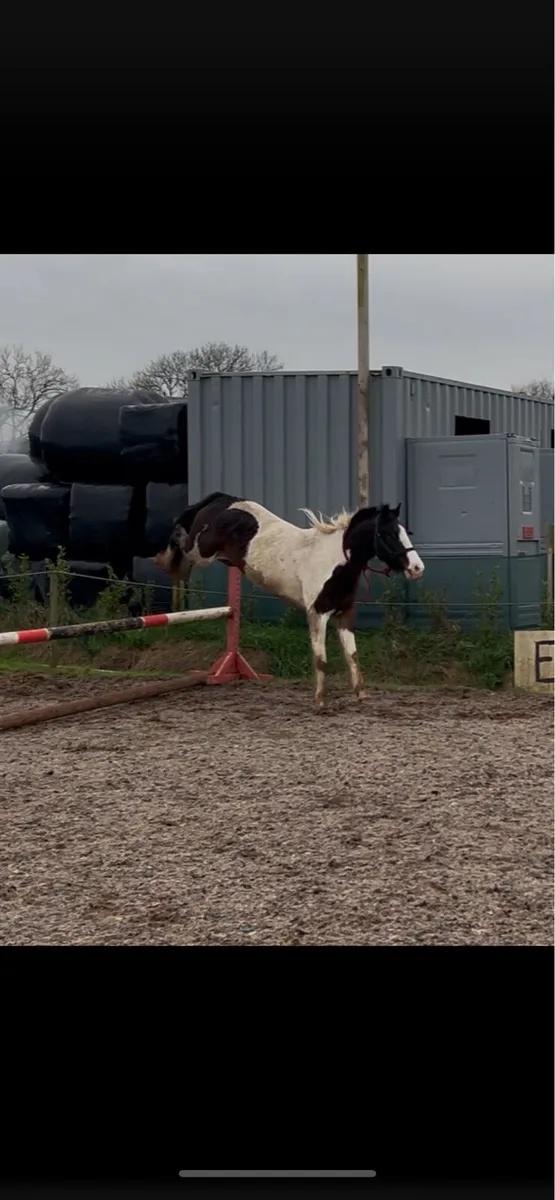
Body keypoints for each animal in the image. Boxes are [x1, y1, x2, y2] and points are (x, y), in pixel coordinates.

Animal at [153, 491, 425, 709]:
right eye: (390, 534)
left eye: (406, 532)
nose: (417, 568)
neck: (334, 560)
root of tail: (224, 500)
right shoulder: (317, 613)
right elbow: (321, 659)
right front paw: (320, 702)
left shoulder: (344, 613)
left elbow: (352, 655)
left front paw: (361, 695)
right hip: (203, 551)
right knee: (183, 542)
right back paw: (165, 558)